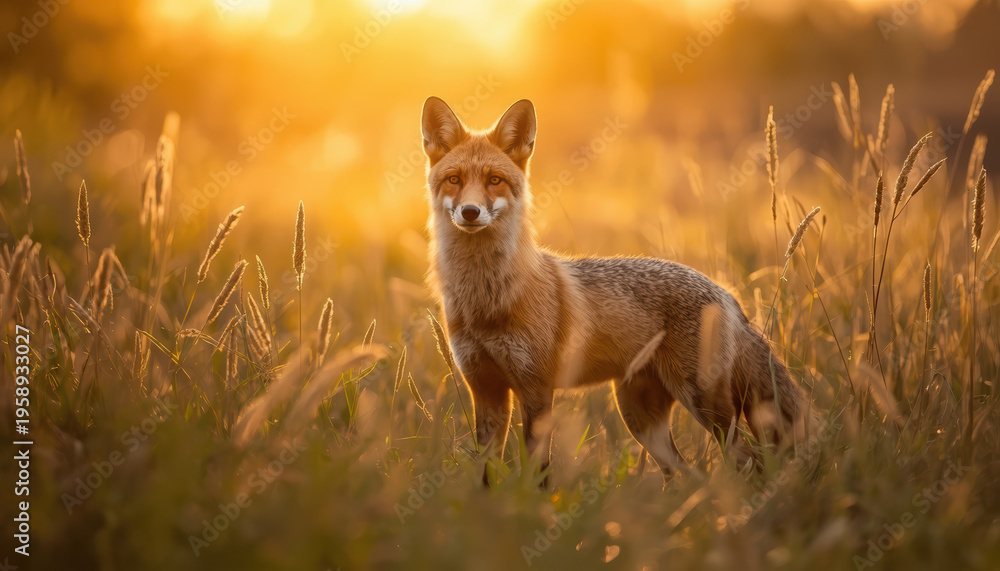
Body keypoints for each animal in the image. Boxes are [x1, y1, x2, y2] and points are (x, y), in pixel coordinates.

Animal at [421, 96, 807, 484]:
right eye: (454, 180)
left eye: (494, 180)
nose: (471, 212)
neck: (484, 301)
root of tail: (726, 293)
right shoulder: (485, 391)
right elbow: (486, 476)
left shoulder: (536, 389)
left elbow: (537, 475)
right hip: (640, 418)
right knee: (685, 472)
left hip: (705, 406)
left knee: (749, 462)